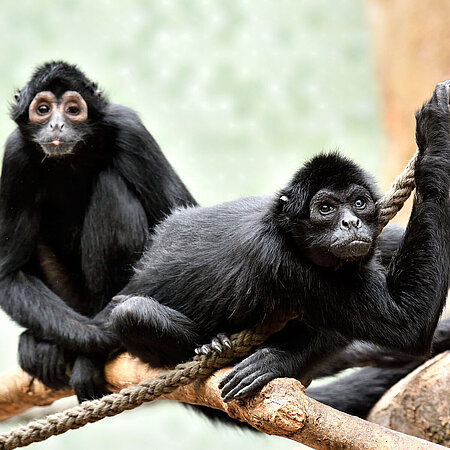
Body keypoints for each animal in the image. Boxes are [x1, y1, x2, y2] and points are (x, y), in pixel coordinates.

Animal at [0, 60, 197, 400]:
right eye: (43, 109)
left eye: (72, 109)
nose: (57, 125)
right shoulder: (14, 157)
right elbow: (10, 273)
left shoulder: (130, 129)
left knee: (111, 185)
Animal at [110, 81, 448, 408]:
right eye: (326, 208)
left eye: (359, 203)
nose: (351, 222)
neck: (283, 230)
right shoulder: (281, 261)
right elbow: (408, 325)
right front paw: (436, 125)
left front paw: (276, 361)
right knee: (131, 312)